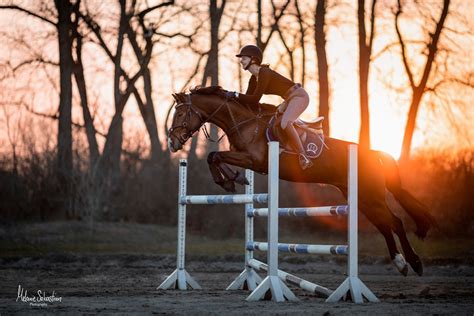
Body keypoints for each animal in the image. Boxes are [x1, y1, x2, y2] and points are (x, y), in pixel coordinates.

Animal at [169, 85, 436, 276]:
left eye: (181, 113)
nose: (172, 142)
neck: (244, 123)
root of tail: (375, 154)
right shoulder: (246, 159)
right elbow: (214, 157)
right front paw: (234, 179)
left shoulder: (254, 160)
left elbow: (214, 155)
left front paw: (230, 181)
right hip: (361, 197)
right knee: (384, 225)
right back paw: (401, 263)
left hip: (372, 195)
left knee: (395, 222)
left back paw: (414, 263)